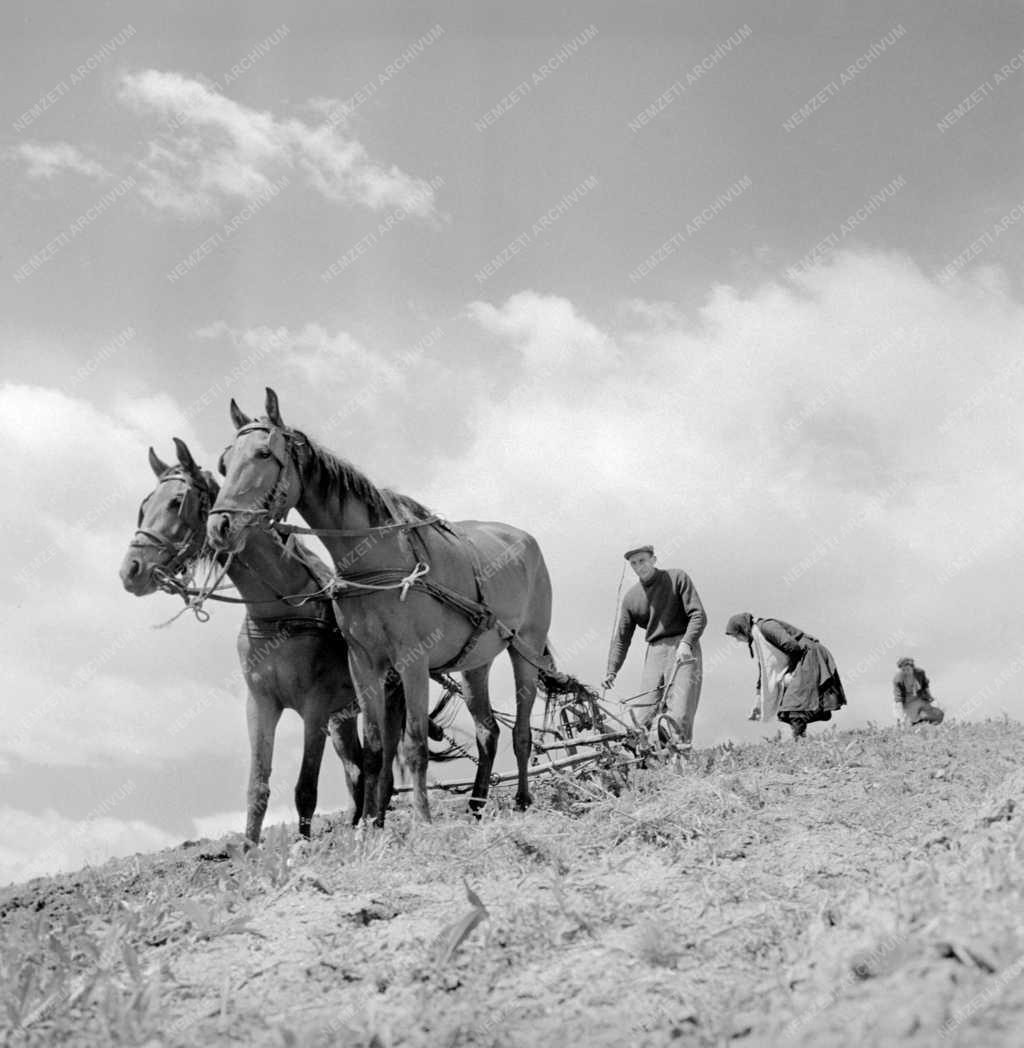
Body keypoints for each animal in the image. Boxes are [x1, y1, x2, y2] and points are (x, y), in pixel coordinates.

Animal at [118, 438, 362, 838]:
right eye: (145, 505)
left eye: (175, 502)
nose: (130, 571)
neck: (282, 608)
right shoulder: (260, 704)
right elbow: (257, 787)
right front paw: (250, 847)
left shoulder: (316, 706)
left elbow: (306, 786)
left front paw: (303, 843)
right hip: (344, 717)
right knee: (360, 769)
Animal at [205, 389, 553, 821]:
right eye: (224, 463)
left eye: (264, 454)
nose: (219, 526)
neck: (376, 558)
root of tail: (525, 540)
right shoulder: (364, 663)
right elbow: (374, 751)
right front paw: (368, 825)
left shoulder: (413, 662)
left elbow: (414, 746)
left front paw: (422, 820)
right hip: (476, 664)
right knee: (488, 731)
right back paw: (475, 806)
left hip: (527, 649)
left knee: (522, 732)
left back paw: (522, 800)